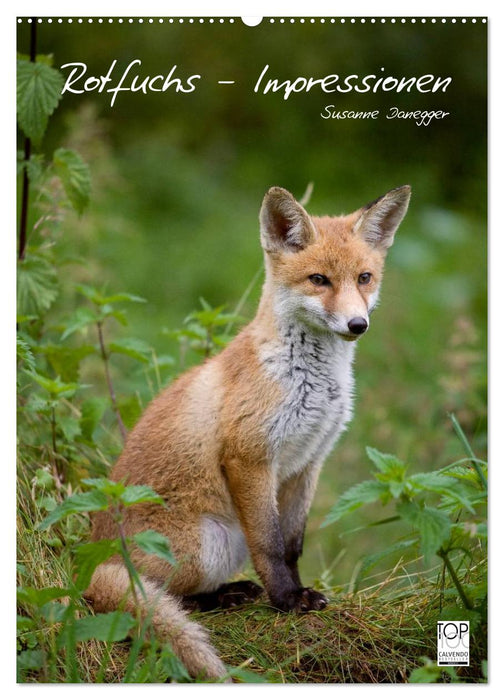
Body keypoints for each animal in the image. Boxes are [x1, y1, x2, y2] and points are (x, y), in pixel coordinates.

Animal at [85, 185, 410, 680]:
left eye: (364, 278)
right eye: (319, 280)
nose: (358, 325)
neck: (310, 382)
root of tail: (85, 561)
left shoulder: (308, 461)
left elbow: (293, 544)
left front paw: (300, 592)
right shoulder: (250, 457)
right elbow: (270, 545)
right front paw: (287, 600)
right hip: (210, 545)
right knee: (161, 596)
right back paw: (220, 596)